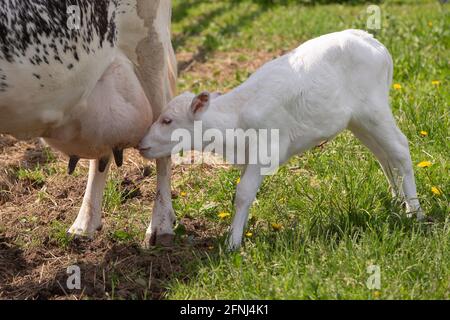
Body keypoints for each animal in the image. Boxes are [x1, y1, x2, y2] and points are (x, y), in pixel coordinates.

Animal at [141, 30, 426, 249]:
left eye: (167, 120)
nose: (142, 144)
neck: (235, 120)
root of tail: (373, 42)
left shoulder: (267, 150)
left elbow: (243, 193)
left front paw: (232, 244)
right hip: (358, 120)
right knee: (383, 154)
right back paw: (396, 200)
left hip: (373, 109)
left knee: (400, 149)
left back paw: (415, 212)